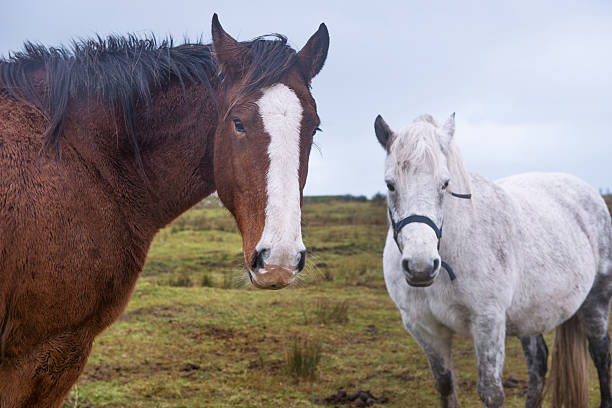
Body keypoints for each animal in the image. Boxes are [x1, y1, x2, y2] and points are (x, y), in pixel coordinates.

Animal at [376, 112, 612, 408]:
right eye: (390, 184)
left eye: (445, 184)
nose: (420, 266)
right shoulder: (425, 329)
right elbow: (445, 386)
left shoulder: (488, 322)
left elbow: (491, 392)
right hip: (530, 313)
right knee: (538, 363)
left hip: (596, 301)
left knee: (601, 355)